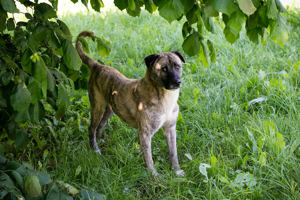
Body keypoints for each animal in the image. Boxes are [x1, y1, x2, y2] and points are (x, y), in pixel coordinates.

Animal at [75, 30, 185, 176]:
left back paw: (100, 140)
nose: (177, 82)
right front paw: (154, 176)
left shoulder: (170, 128)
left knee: (101, 125)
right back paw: (95, 149)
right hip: (97, 107)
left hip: (110, 109)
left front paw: (176, 171)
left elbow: (174, 152)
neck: (164, 97)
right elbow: (149, 159)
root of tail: (98, 66)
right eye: (164, 69)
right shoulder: (145, 133)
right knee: (91, 128)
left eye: (177, 66)